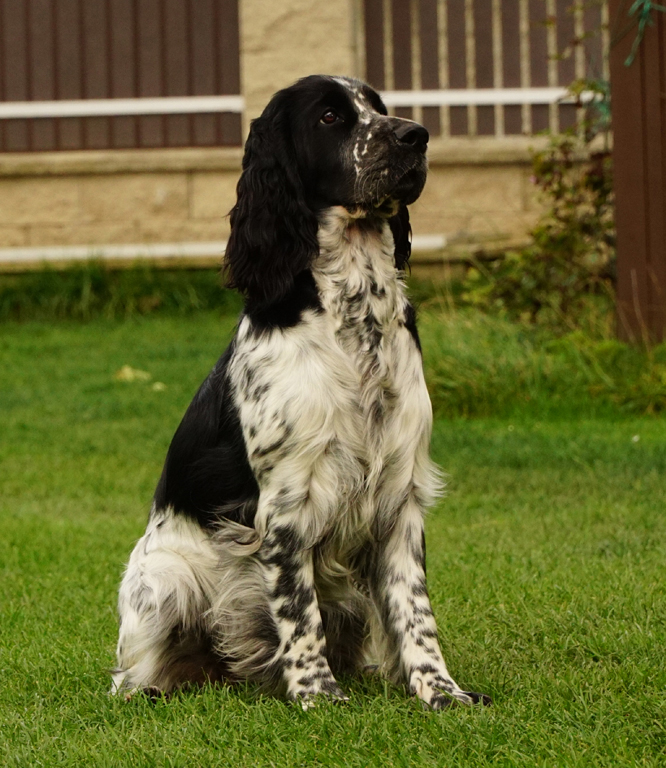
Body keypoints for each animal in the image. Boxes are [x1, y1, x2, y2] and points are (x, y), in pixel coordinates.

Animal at [111, 75, 488, 712]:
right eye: (331, 117)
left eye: (379, 108)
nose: (416, 135)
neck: (355, 314)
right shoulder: (286, 504)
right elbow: (299, 611)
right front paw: (318, 696)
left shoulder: (401, 496)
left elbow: (415, 611)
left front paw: (440, 691)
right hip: (162, 579)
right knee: (130, 674)